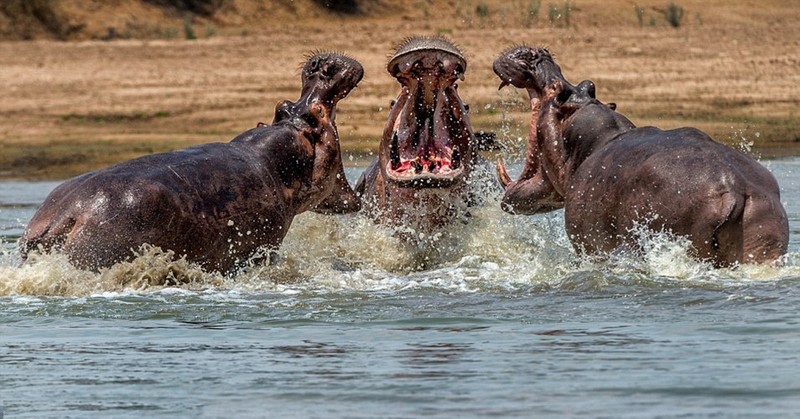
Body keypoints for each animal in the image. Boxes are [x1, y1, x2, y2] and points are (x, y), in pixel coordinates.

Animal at [494, 46, 788, 268]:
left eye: (558, 91)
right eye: (589, 85)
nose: (537, 53)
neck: (601, 137)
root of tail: (734, 188)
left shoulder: (588, 243)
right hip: (763, 239)